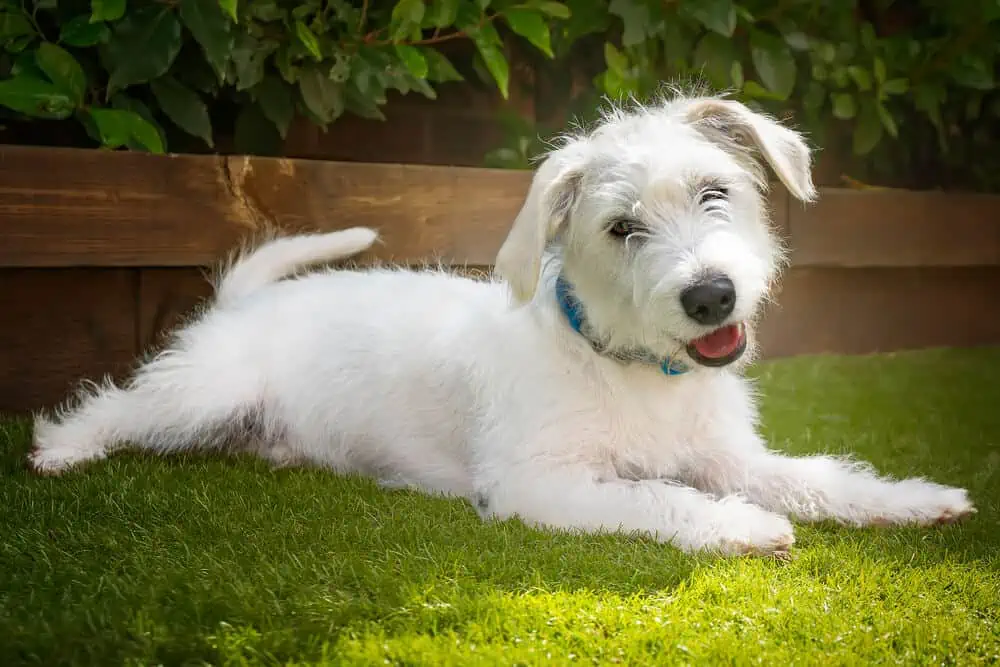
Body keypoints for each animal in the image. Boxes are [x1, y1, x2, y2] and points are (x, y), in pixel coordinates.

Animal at [31, 90, 976, 560]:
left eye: (715, 191)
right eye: (621, 228)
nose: (711, 296)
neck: (630, 368)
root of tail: (245, 300)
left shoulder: (731, 457)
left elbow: (815, 475)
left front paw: (915, 499)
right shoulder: (539, 484)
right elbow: (657, 494)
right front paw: (739, 527)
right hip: (201, 389)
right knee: (114, 404)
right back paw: (61, 449)